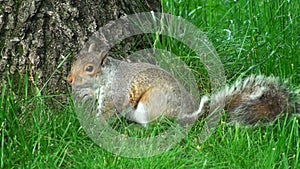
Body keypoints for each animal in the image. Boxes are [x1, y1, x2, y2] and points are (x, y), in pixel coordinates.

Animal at [67, 43, 300, 127]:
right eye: (75, 61)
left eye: (89, 68)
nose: (69, 79)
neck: (108, 75)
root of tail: (190, 115)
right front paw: (86, 95)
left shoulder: (116, 92)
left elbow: (106, 113)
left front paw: (93, 126)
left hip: (152, 104)